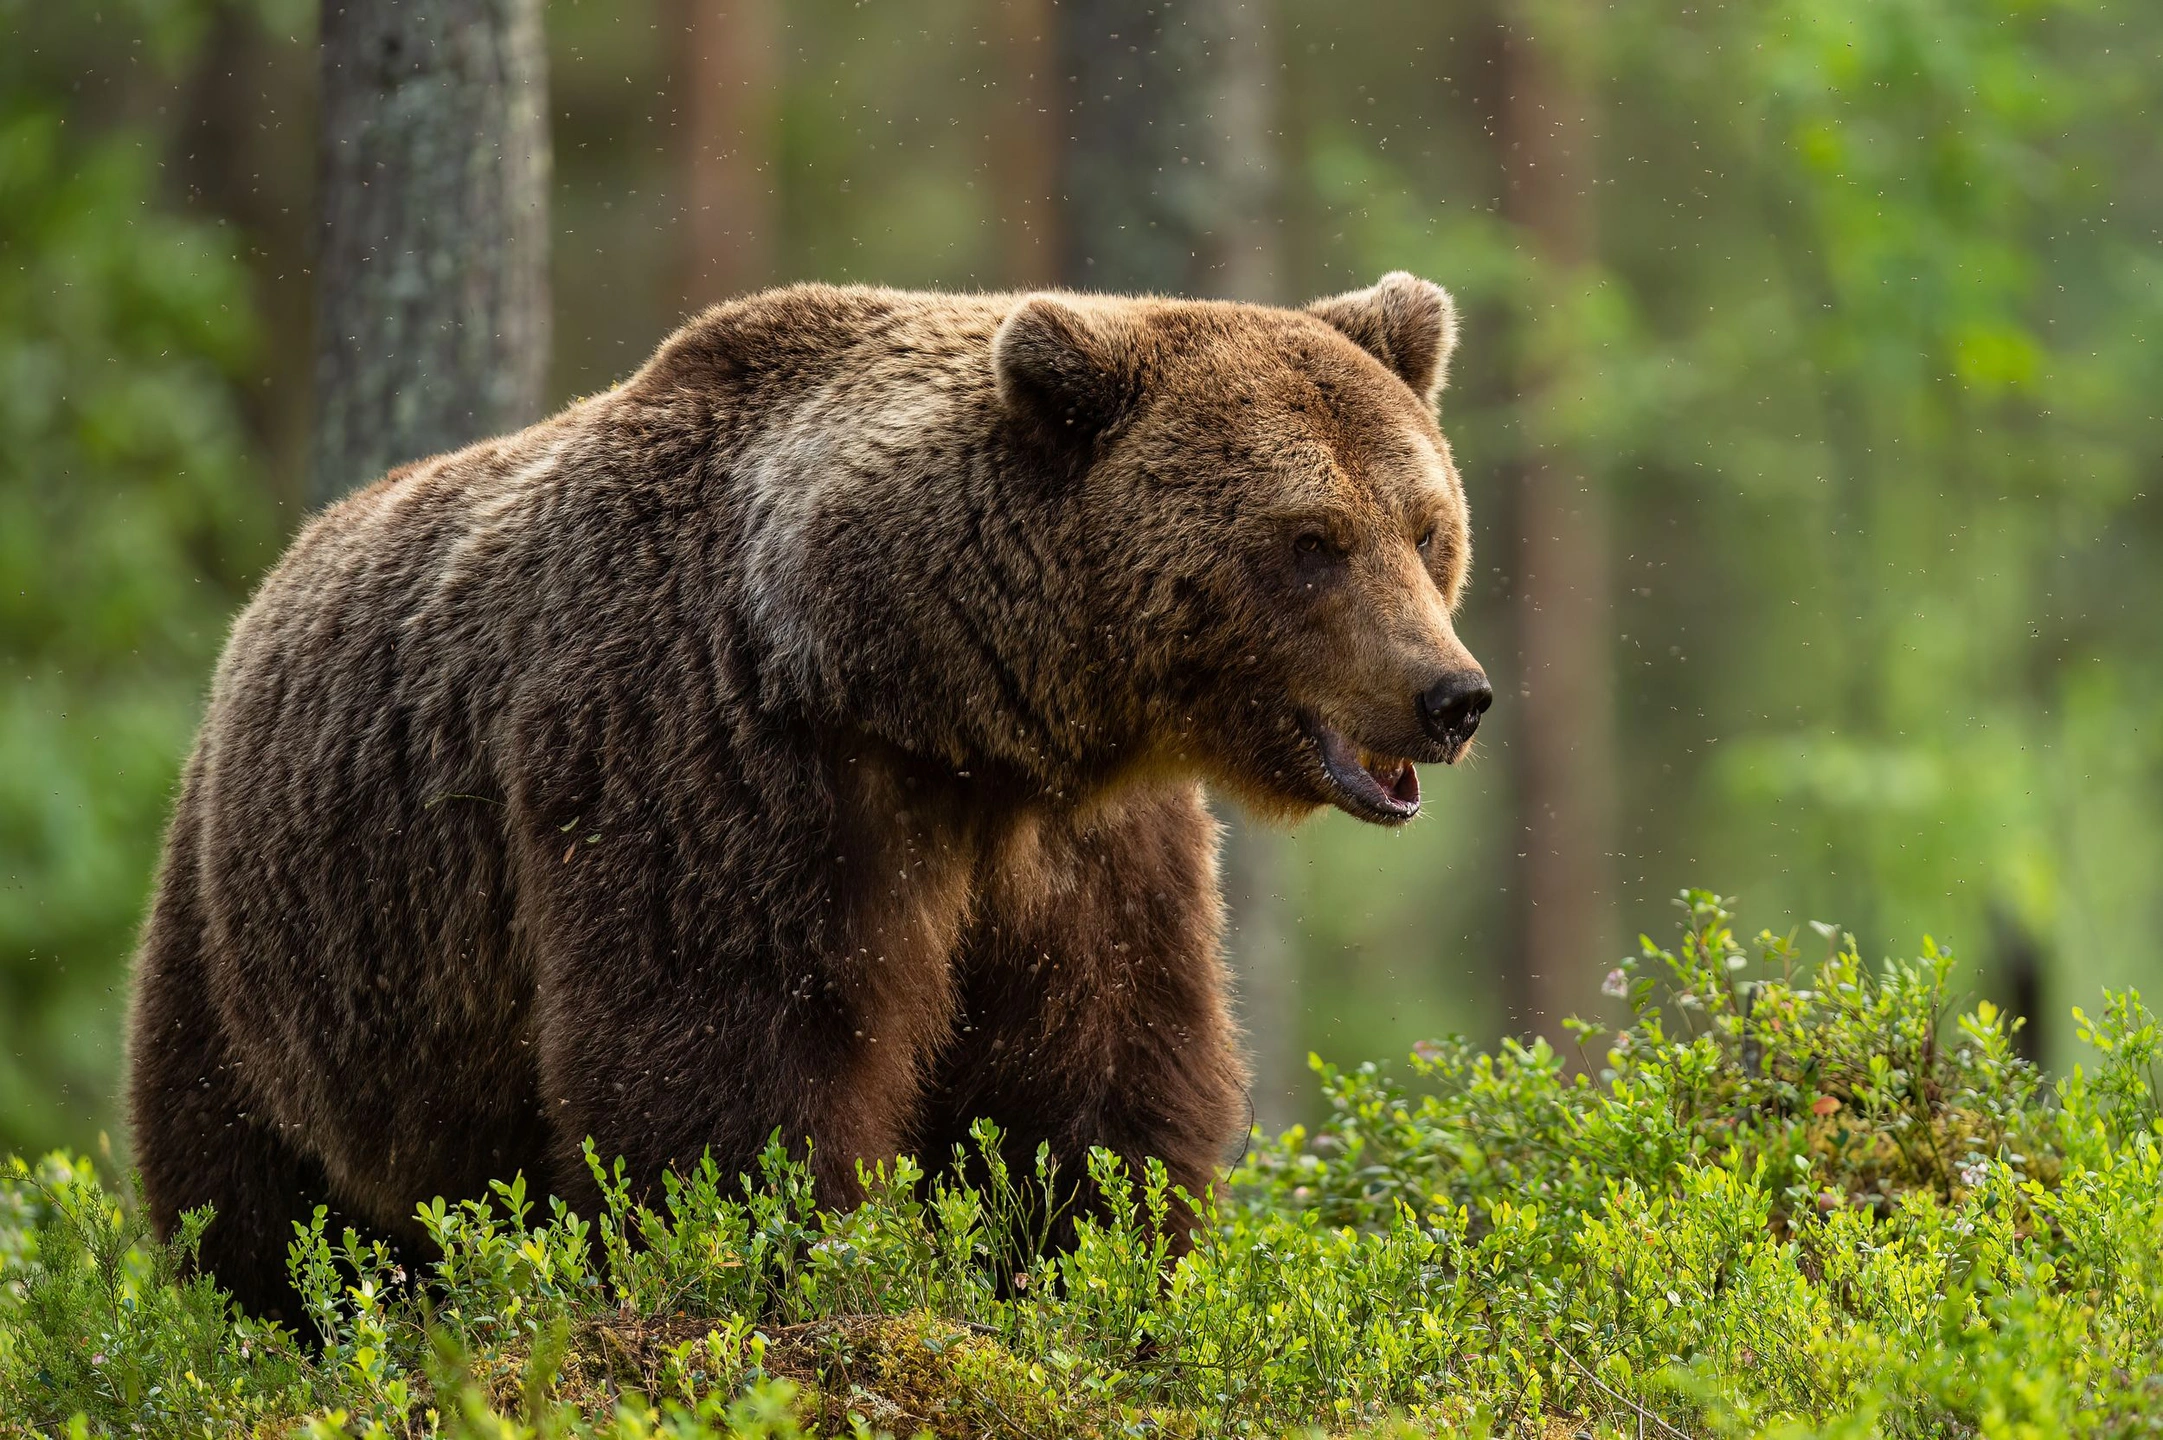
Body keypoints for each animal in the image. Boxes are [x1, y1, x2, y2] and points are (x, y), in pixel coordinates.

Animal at [126, 274, 1496, 1314]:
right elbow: (730, 1064)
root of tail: (263, 596)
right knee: (251, 1192)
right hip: (274, 947)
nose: (1452, 695)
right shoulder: (719, 761)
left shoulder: (1080, 845)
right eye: (1310, 542)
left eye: (1426, 527)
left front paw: (1089, 1272)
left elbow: (1098, 1074)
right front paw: (801, 1273)